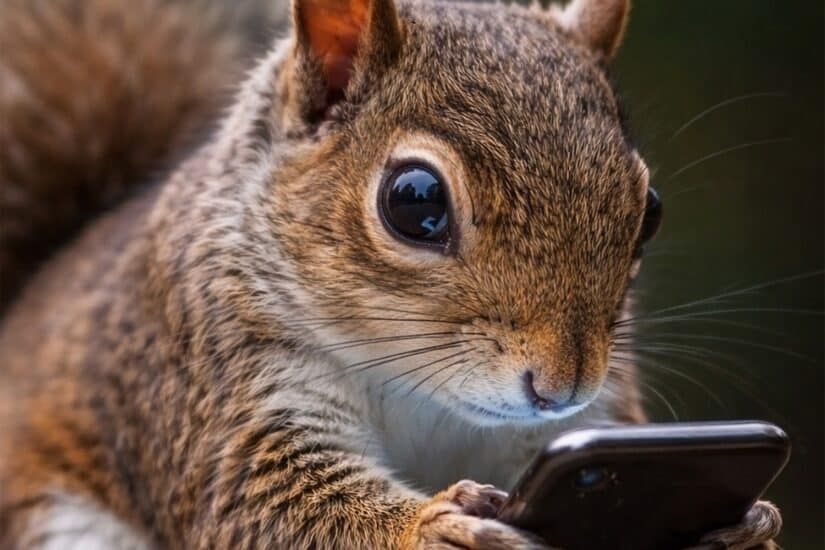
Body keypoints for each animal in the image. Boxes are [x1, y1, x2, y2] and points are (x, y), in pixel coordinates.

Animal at [0, 0, 782, 548]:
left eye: (649, 211)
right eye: (415, 203)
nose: (562, 387)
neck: (419, 390)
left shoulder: (580, 428)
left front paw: (746, 526)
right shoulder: (208, 377)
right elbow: (261, 504)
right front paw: (432, 527)